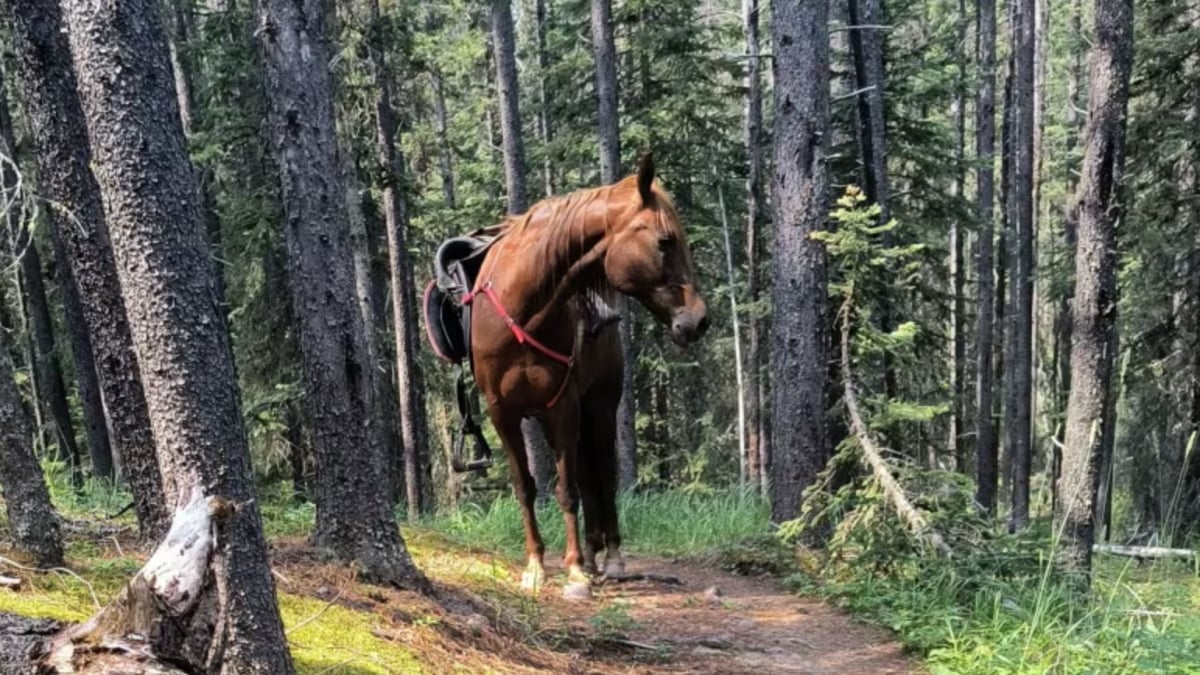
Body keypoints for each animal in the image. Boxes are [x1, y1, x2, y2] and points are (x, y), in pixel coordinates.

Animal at [468, 154, 705, 595]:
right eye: (665, 241)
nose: (699, 321)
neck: (524, 310)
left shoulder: (563, 405)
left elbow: (567, 490)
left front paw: (575, 570)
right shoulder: (503, 412)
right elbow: (526, 487)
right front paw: (535, 566)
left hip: (599, 405)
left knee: (603, 473)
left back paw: (608, 557)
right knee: (587, 471)